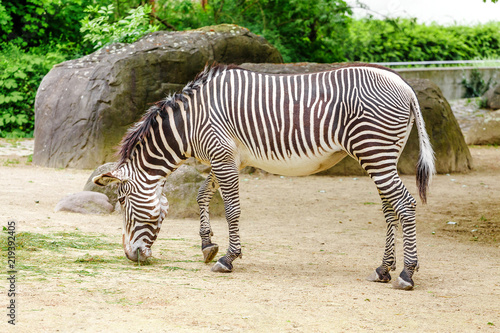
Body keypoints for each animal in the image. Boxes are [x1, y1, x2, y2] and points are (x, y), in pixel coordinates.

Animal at [93, 62, 434, 288]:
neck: (189, 123)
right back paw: (383, 269)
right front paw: (207, 245)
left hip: (374, 151)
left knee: (405, 204)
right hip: (380, 156)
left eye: (122, 202)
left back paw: (407, 273)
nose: (131, 257)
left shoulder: (221, 154)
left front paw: (228, 259)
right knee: (389, 209)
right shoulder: (227, 158)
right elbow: (203, 195)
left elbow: (231, 209)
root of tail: (405, 86)